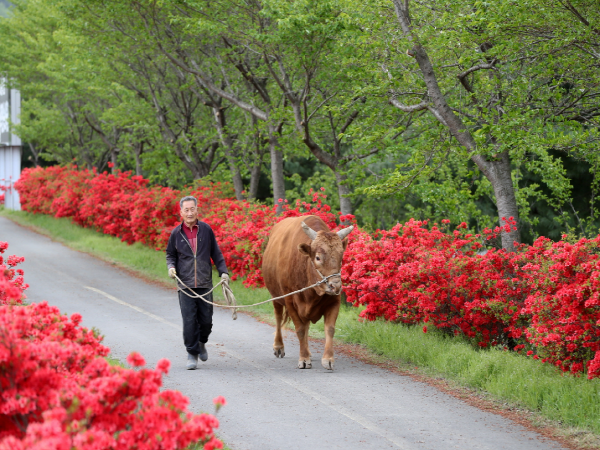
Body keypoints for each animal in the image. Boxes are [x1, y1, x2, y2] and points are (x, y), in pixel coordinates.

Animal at [262, 215, 354, 370]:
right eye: (317, 257)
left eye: (341, 257)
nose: (335, 285)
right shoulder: (290, 301)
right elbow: (299, 329)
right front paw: (304, 358)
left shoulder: (334, 301)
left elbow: (329, 329)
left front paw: (328, 358)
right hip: (276, 297)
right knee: (279, 318)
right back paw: (279, 346)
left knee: (306, 325)